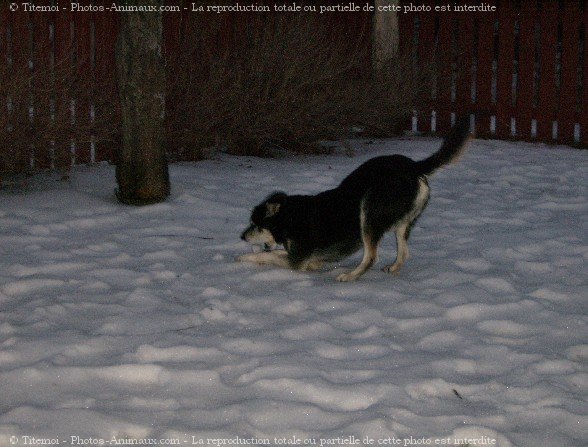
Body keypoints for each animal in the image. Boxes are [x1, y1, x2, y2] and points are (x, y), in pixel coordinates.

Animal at [237, 117, 470, 282]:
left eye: (255, 224)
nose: (242, 236)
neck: (289, 217)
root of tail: (414, 166)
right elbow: (277, 253)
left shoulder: (296, 259)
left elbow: (268, 255)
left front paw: (243, 258)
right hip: (402, 223)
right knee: (404, 252)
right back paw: (393, 267)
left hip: (369, 213)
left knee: (371, 256)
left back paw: (350, 276)